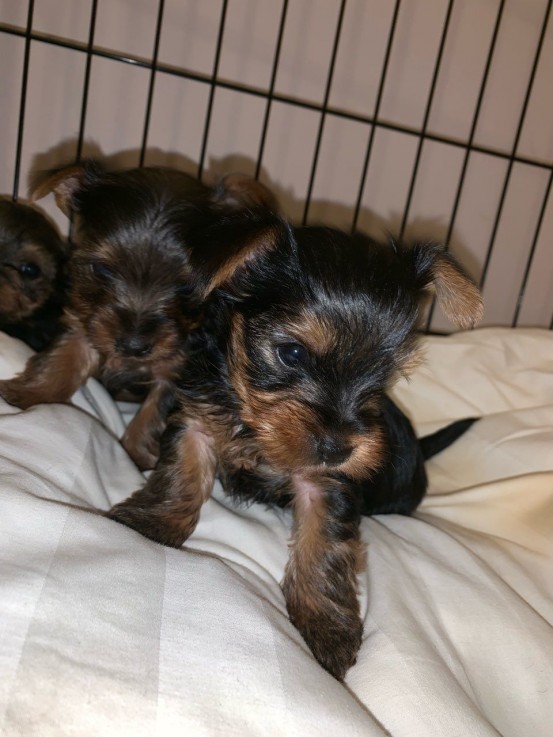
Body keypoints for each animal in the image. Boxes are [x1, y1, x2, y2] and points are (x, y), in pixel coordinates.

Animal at [108, 211, 484, 680]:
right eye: (292, 353)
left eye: (384, 377)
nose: (339, 447)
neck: (252, 425)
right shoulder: (195, 418)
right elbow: (181, 473)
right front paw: (152, 524)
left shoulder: (329, 483)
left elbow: (324, 545)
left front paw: (325, 626)